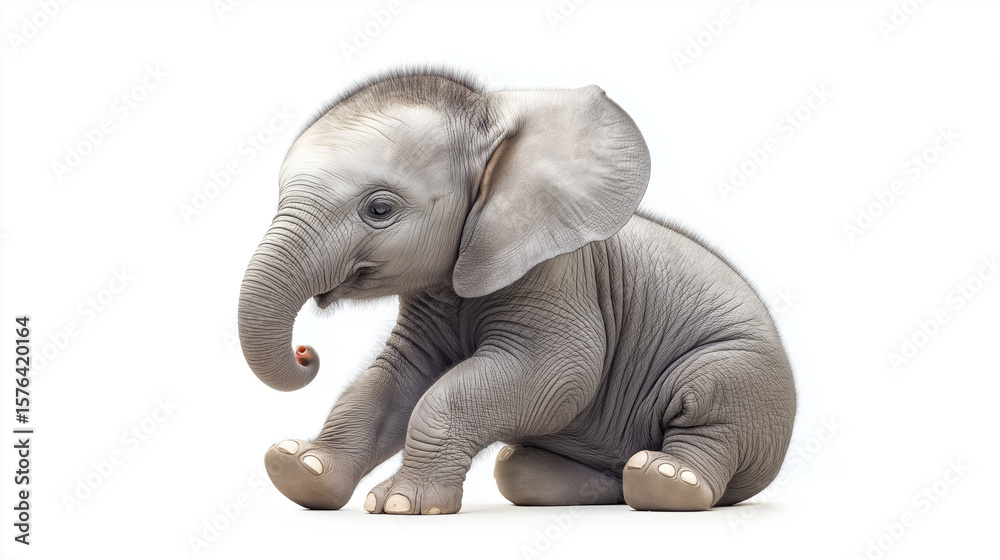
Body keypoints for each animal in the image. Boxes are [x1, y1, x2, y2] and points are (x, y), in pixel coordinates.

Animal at [237, 68, 796, 514]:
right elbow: (392, 380)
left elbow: (557, 375)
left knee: (711, 412)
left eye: (379, 209)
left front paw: (400, 505)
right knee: (514, 469)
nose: (306, 352)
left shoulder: (558, 278)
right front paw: (299, 469)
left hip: (743, 376)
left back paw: (667, 480)